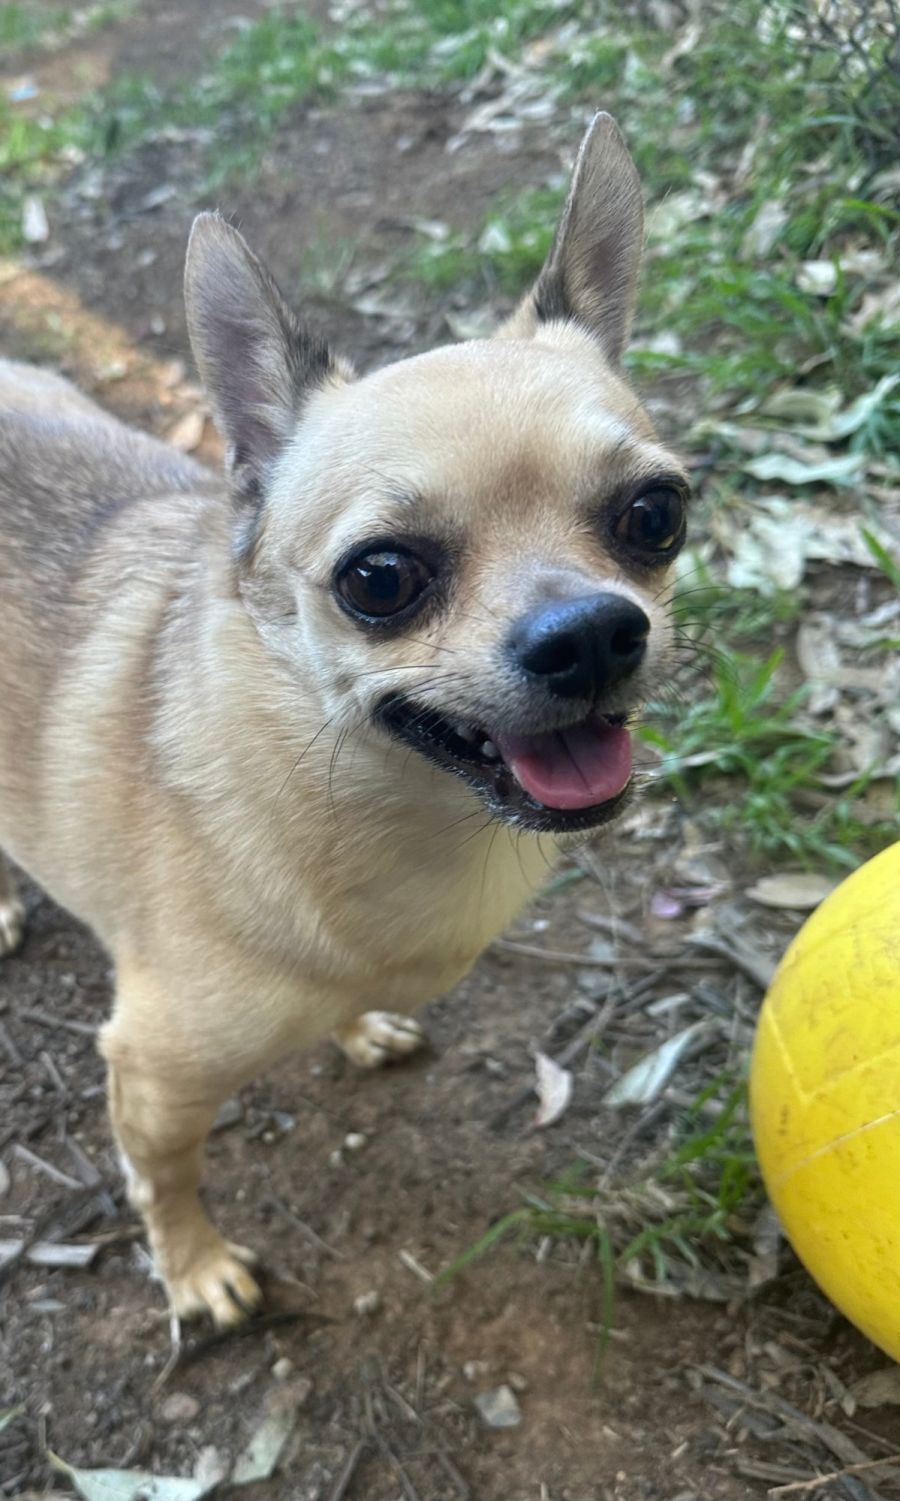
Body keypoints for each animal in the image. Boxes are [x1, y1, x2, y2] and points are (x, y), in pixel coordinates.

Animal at [0, 114, 690, 1326]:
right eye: (380, 580)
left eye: (656, 515)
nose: (591, 633)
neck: (386, 813)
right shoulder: (152, 1074)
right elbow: (166, 1178)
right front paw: (195, 1267)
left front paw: (360, 1025)